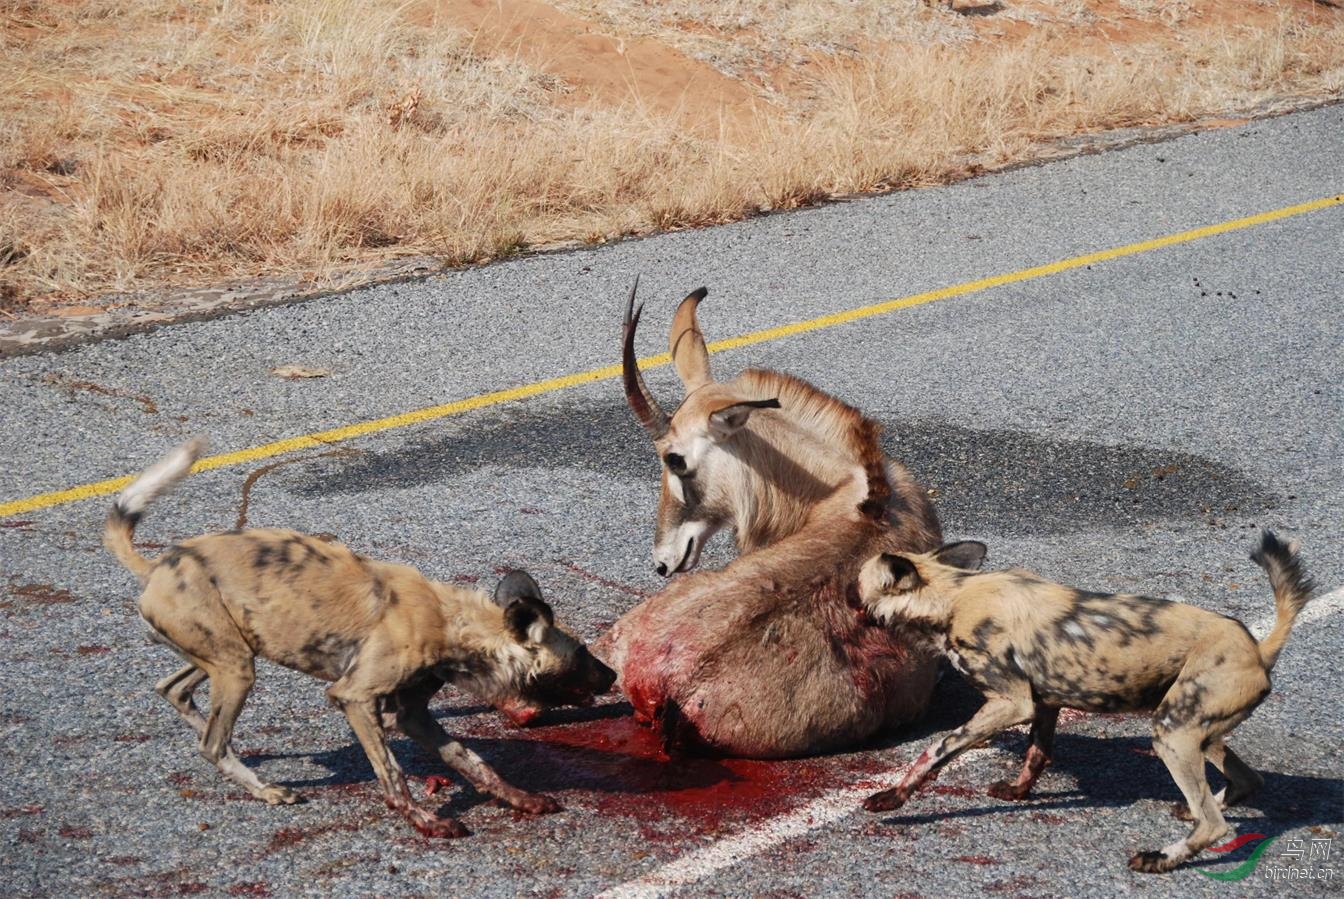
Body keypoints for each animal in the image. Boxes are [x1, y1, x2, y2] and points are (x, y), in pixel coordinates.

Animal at [104, 438, 618, 838]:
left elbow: (472, 760)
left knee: (174, 692)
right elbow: (392, 774)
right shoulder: (354, 698)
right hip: (237, 670)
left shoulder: (413, 714)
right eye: (583, 653)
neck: (451, 623)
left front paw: (519, 797)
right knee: (210, 742)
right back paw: (266, 789)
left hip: (229, 657)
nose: (613, 674)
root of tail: (158, 565)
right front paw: (426, 822)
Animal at [860, 532, 1311, 870]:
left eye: (854, 584)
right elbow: (1037, 753)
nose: (844, 600)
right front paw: (1018, 792)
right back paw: (1193, 810)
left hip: (1172, 734)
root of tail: (1259, 648)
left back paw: (1160, 858)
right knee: (1247, 781)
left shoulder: (1011, 702)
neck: (950, 596)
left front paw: (894, 798)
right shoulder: (1045, 702)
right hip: (1195, 729)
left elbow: (934, 752)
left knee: (1214, 826)